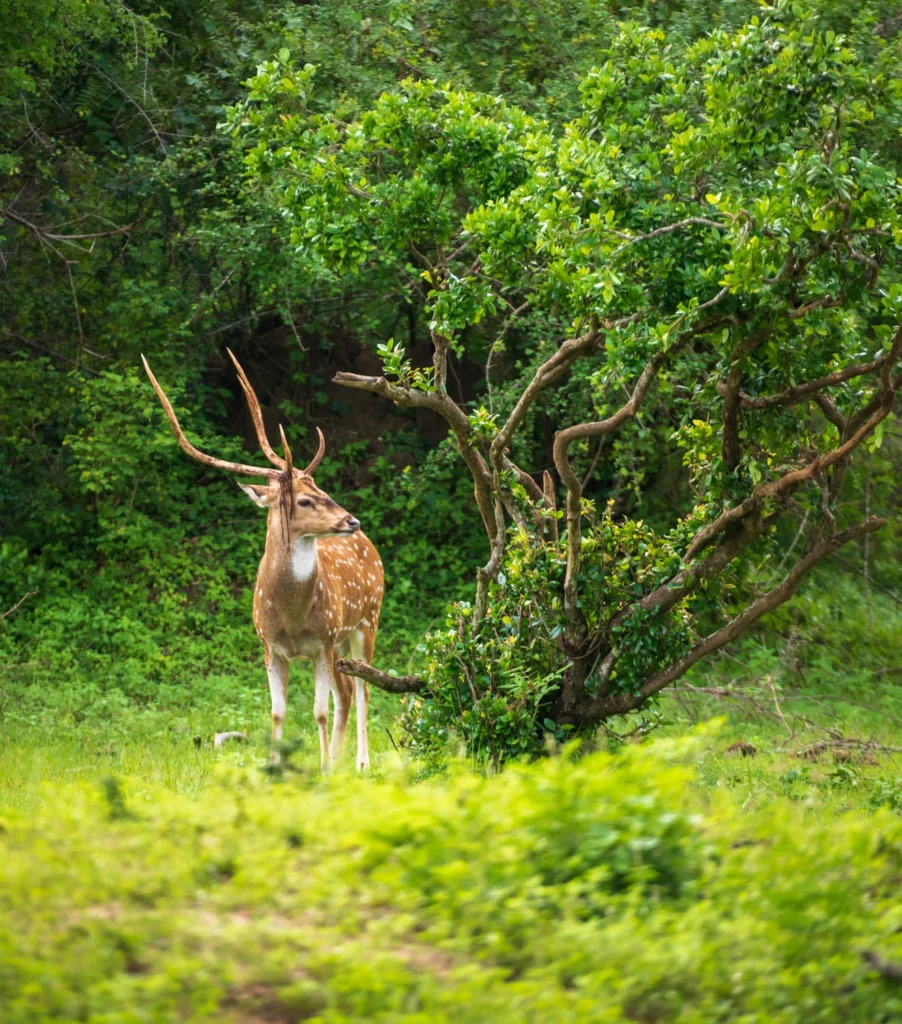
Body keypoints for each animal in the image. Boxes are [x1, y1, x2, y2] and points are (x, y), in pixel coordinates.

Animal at [141, 351, 383, 772]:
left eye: (321, 488)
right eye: (304, 499)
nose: (351, 521)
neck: (292, 617)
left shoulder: (321, 641)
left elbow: (318, 711)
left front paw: (321, 770)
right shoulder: (269, 644)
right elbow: (277, 712)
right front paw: (277, 767)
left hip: (367, 619)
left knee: (365, 687)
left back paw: (359, 764)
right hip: (342, 639)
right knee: (348, 690)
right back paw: (338, 761)